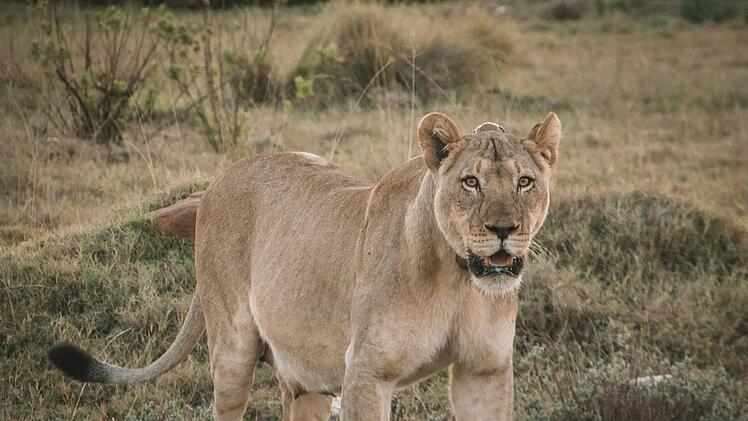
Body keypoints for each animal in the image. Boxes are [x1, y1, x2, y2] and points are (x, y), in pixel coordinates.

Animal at [48, 111, 561, 420]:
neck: (458, 278)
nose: (503, 229)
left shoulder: (484, 371)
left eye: (525, 182)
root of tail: (219, 179)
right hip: (233, 347)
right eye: (471, 182)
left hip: (307, 375)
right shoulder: (367, 373)